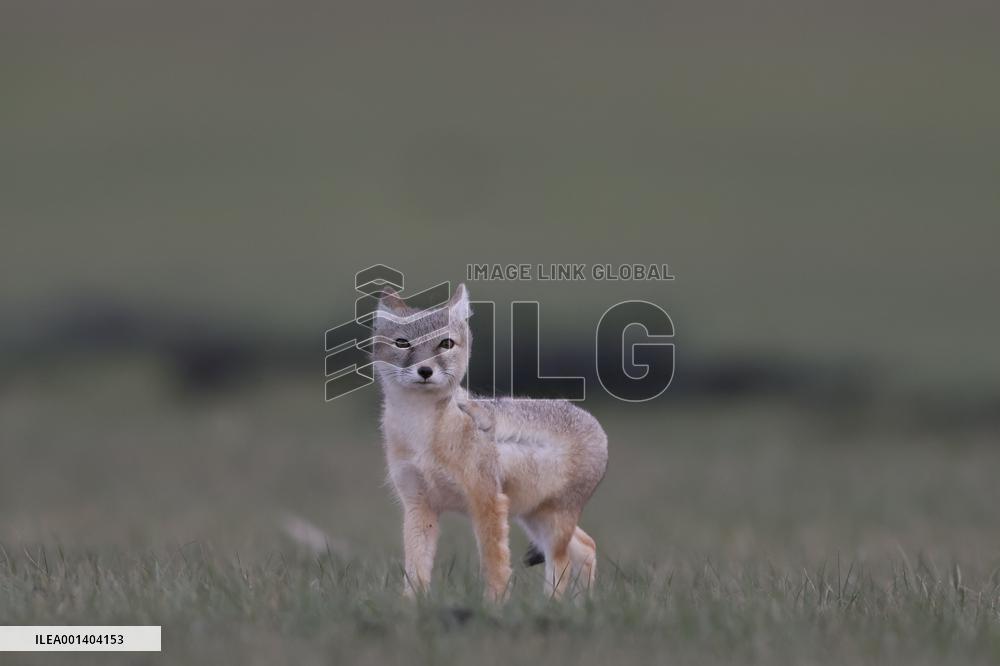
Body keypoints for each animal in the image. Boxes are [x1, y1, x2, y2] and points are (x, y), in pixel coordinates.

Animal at [372, 283, 608, 602]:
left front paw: (495, 605)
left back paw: (552, 606)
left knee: (562, 563)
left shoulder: (486, 500)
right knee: (587, 546)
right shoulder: (419, 505)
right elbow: (416, 567)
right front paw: (412, 605)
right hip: (533, 516)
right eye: (401, 343)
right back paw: (580, 605)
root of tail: (596, 425)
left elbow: (494, 564)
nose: (425, 371)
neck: (421, 430)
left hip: (551, 524)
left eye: (446, 344)